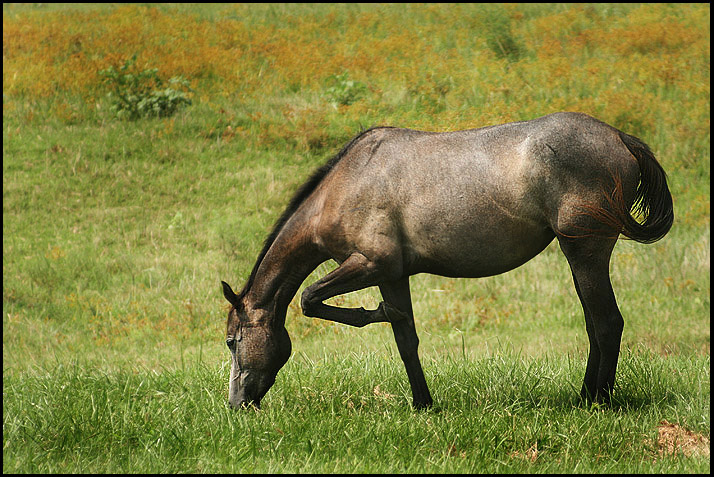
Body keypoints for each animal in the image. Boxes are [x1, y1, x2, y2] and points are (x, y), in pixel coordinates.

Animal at [221, 111, 672, 410]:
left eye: (231, 341)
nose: (236, 404)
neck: (348, 183)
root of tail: (620, 137)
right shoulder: (391, 274)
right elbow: (406, 341)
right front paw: (423, 403)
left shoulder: (370, 264)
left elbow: (310, 298)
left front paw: (376, 313)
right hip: (579, 257)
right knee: (595, 325)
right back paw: (584, 396)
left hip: (585, 252)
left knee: (608, 323)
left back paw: (598, 402)